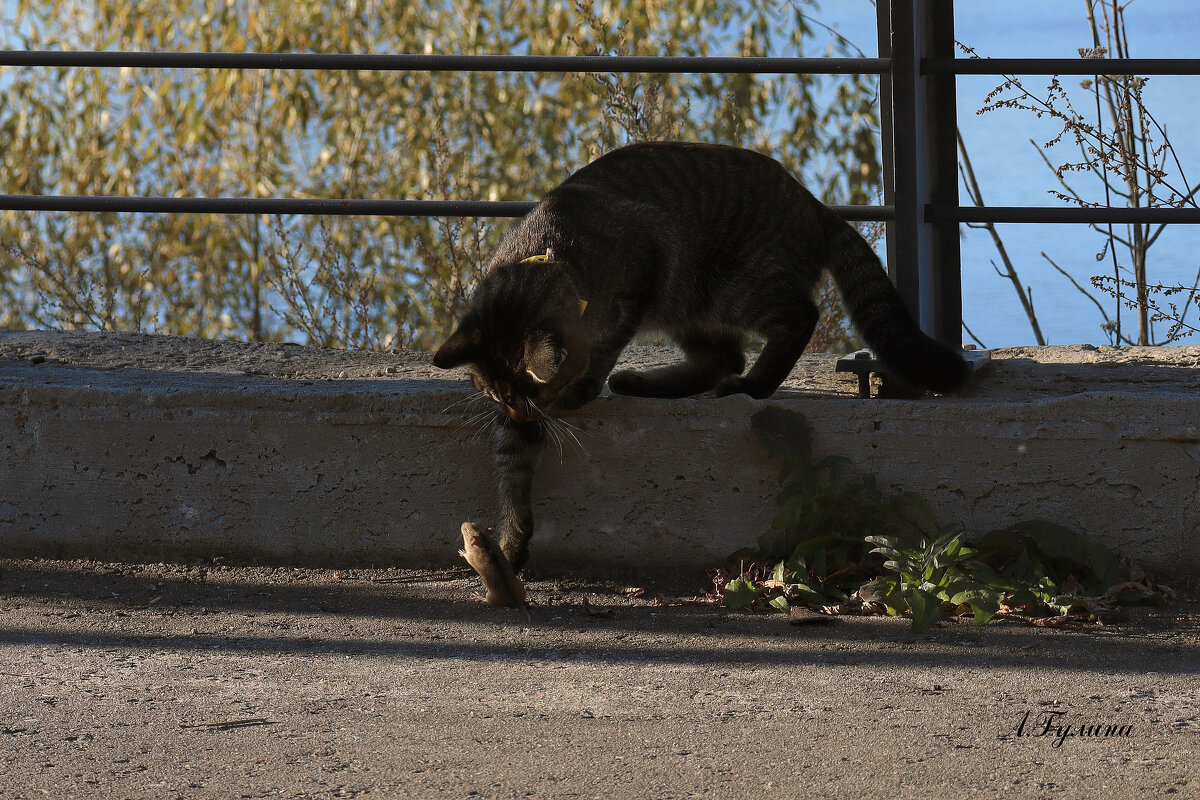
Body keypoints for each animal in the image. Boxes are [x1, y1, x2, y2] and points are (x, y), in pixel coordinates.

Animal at [436, 143, 969, 568]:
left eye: (535, 395)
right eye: (496, 397)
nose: (521, 415)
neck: (551, 252)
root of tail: (813, 204)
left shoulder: (640, 280)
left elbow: (604, 349)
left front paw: (585, 386)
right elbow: (511, 469)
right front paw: (509, 543)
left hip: (730, 287)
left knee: (795, 321)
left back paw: (753, 385)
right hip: (689, 309)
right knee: (722, 357)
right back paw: (645, 383)